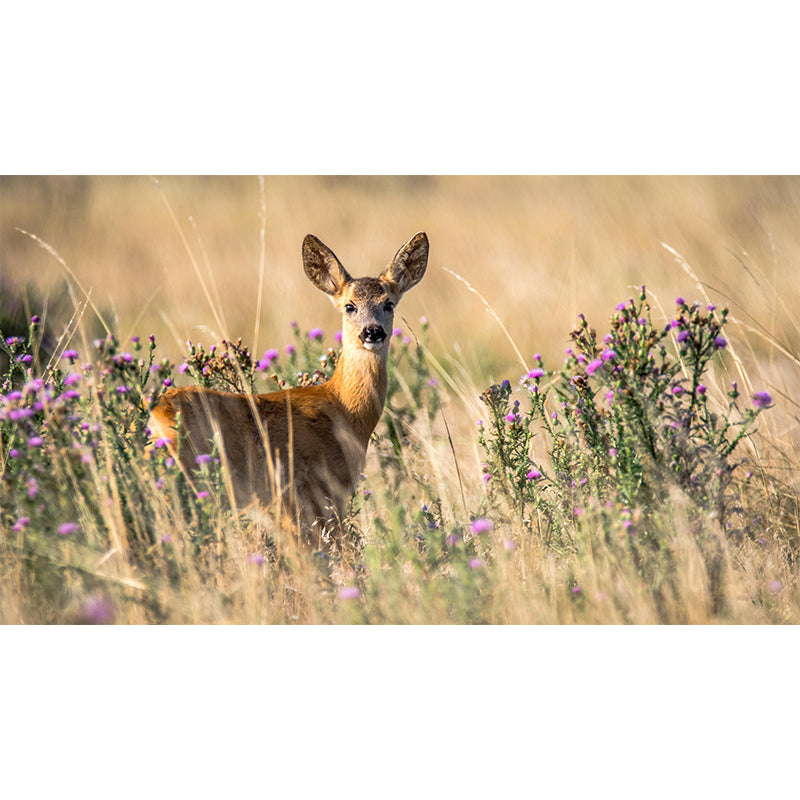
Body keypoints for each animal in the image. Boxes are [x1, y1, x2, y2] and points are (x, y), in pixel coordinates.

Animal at [148, 232, 429, 547]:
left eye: (389, 304)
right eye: (349, 306)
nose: (372, 332)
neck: (344, 410)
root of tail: (156, 413)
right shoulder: (316, 490)